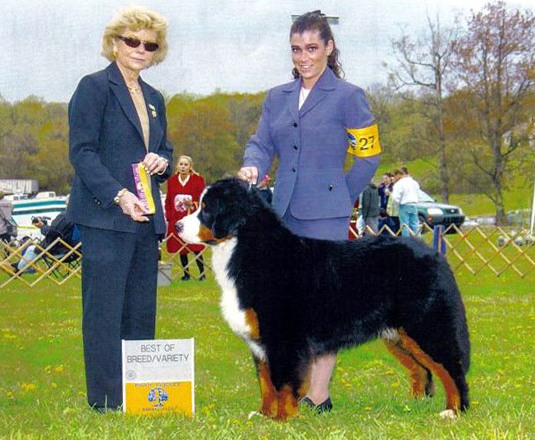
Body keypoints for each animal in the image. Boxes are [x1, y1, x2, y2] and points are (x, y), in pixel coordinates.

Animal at [177, 178, 468, 420]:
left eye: (206, 208)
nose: (178, 225)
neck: (247, 247)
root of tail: (435, 254)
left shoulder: (283, 338)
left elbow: (282, 382)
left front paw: (282, 419)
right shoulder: (261, 342)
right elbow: (265, 382)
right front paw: (263, 416)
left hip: (427, 326)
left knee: (452, 368)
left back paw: (454, 411)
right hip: (399, 335)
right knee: (421, 369)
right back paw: (412, 406)